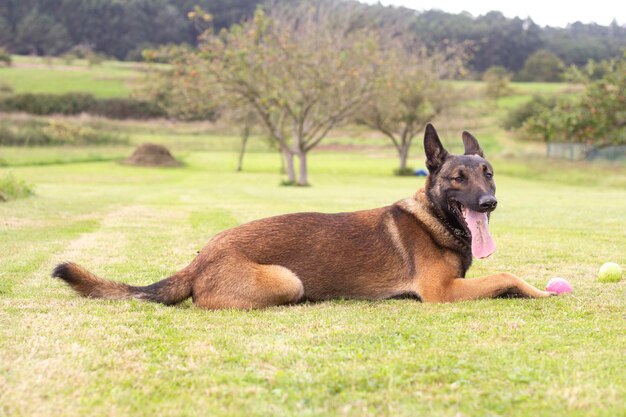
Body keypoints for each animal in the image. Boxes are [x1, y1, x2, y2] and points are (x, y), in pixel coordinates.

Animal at [53, 123, 552, 308]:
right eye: (457, 179)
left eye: (488, 174)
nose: (487, 204)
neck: (435, 218)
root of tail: (200, 259)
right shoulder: (442, 292)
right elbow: (505, 275)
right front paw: (541, 292)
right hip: (287, 280)